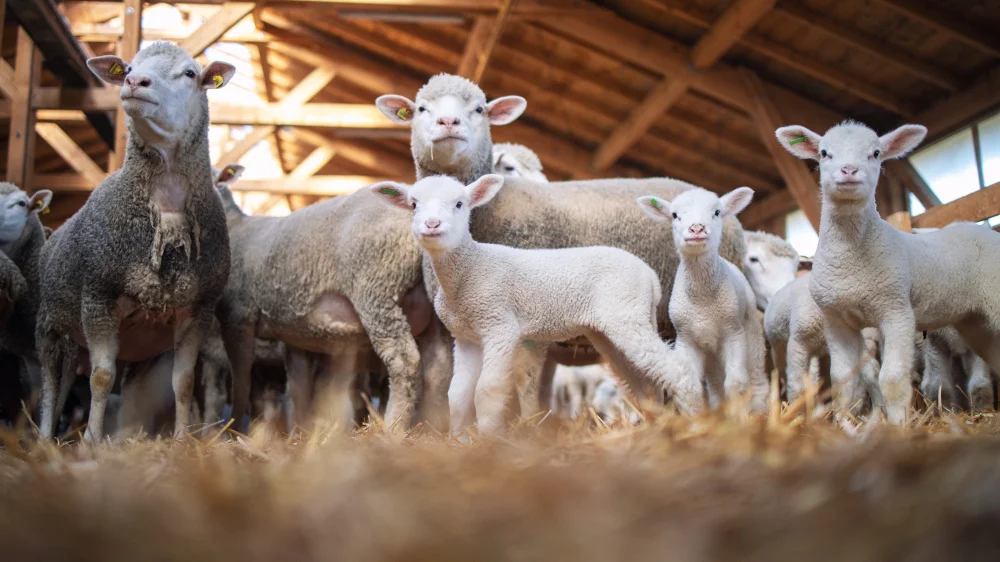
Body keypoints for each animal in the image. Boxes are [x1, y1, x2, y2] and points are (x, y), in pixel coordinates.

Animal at [35, 41, 234, 440]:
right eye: (127, 67)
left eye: (190, 73)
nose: (134, 81)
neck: (166, 208)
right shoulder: (98, 295)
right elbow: (101, 378)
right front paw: (92, 442)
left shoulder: (198, 308)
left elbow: (184, 382)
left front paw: (181, 439)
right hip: (50, 326)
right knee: (51, 388)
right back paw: (45, 439)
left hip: (107, 345)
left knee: (77, 386)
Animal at [370, 174, 704, 434]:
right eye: (414, 204)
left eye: (459, 204)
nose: (431, 224)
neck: (470, 268)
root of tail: (650, 277)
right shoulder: (466, 338)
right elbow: (458, 394)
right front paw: (459, 440)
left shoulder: (500, 327)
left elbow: (487, 390)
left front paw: (488, 441)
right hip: (612, 330)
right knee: (644, 381)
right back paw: (654, 422)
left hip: (627, 317)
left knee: (677, 370)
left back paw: (693, 420)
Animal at [378, 72, 748, 412]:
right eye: (421, 108)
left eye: (479, 109)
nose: (448, 123)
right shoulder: (451, 331)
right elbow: (447, 384)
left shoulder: (524, 326)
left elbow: (524, 385)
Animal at [636, 186, 768, 410]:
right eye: (674, 215)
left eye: (717, 212)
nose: (696, 228)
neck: (702, 300)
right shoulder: (686, 339)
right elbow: (690, 388)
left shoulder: (734, 333)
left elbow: (737, 384)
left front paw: (738, 416)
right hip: (712, 355)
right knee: (716, 386)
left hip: (752, 334)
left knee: (756, 377)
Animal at [776, 121, 1000, 420]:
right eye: (824, 153)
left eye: (875, 153)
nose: (849, 170)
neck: (850, 260)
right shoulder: (836, 320)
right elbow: (842, 381)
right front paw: (844, 422)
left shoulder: (896, 311)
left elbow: (892, 379)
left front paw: (896, 425)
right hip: (976, 321)